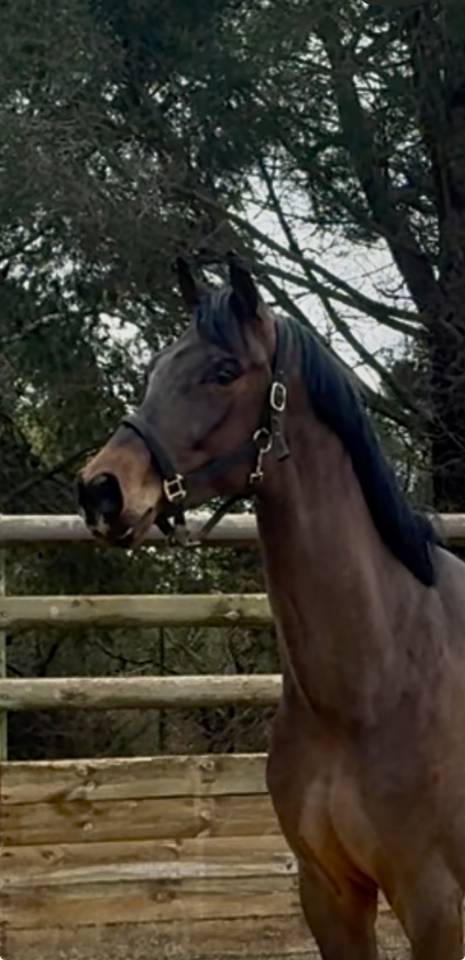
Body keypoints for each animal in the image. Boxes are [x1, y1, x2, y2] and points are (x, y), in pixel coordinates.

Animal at [78, 253, 465, 959]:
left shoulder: (434, 902)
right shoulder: (329, 895)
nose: (101, 490)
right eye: (156, 366)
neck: (378, 680)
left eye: (224, 371)